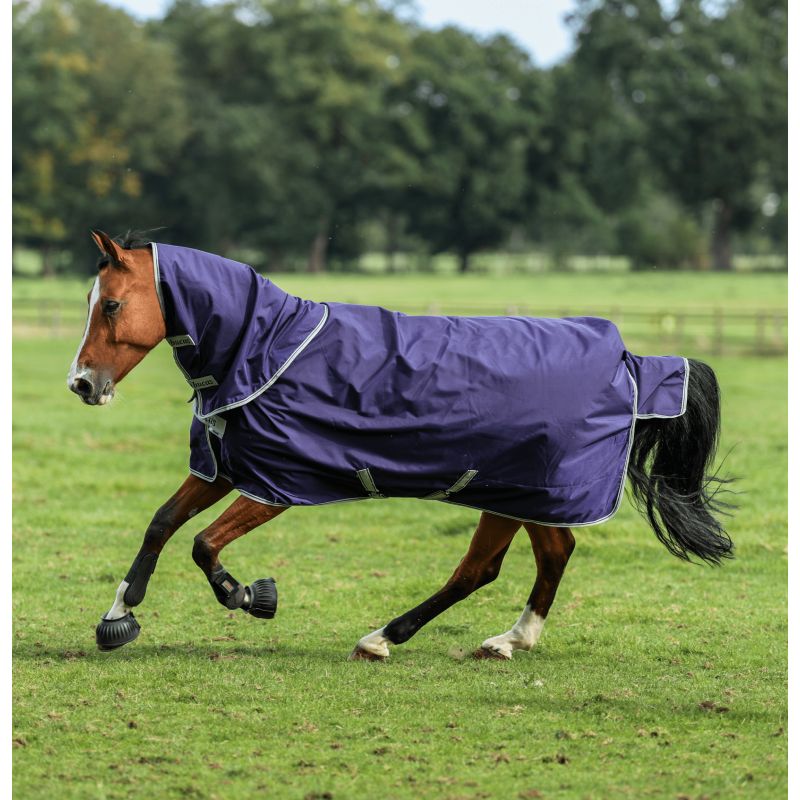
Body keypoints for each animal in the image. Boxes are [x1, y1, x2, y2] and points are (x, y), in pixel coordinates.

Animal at [68, 230, 733, 659]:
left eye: (112, 304)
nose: (82, 384)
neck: (265, 350)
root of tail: (627, 359)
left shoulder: (276, 485)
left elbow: (203, 544)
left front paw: (251, 595)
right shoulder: (226, 468)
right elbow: (161, 523)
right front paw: (118, 616)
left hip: (512, 490)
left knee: (481, 568)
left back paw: (384, 638)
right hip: (525, 495)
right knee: (548, 554)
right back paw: (509, 640)